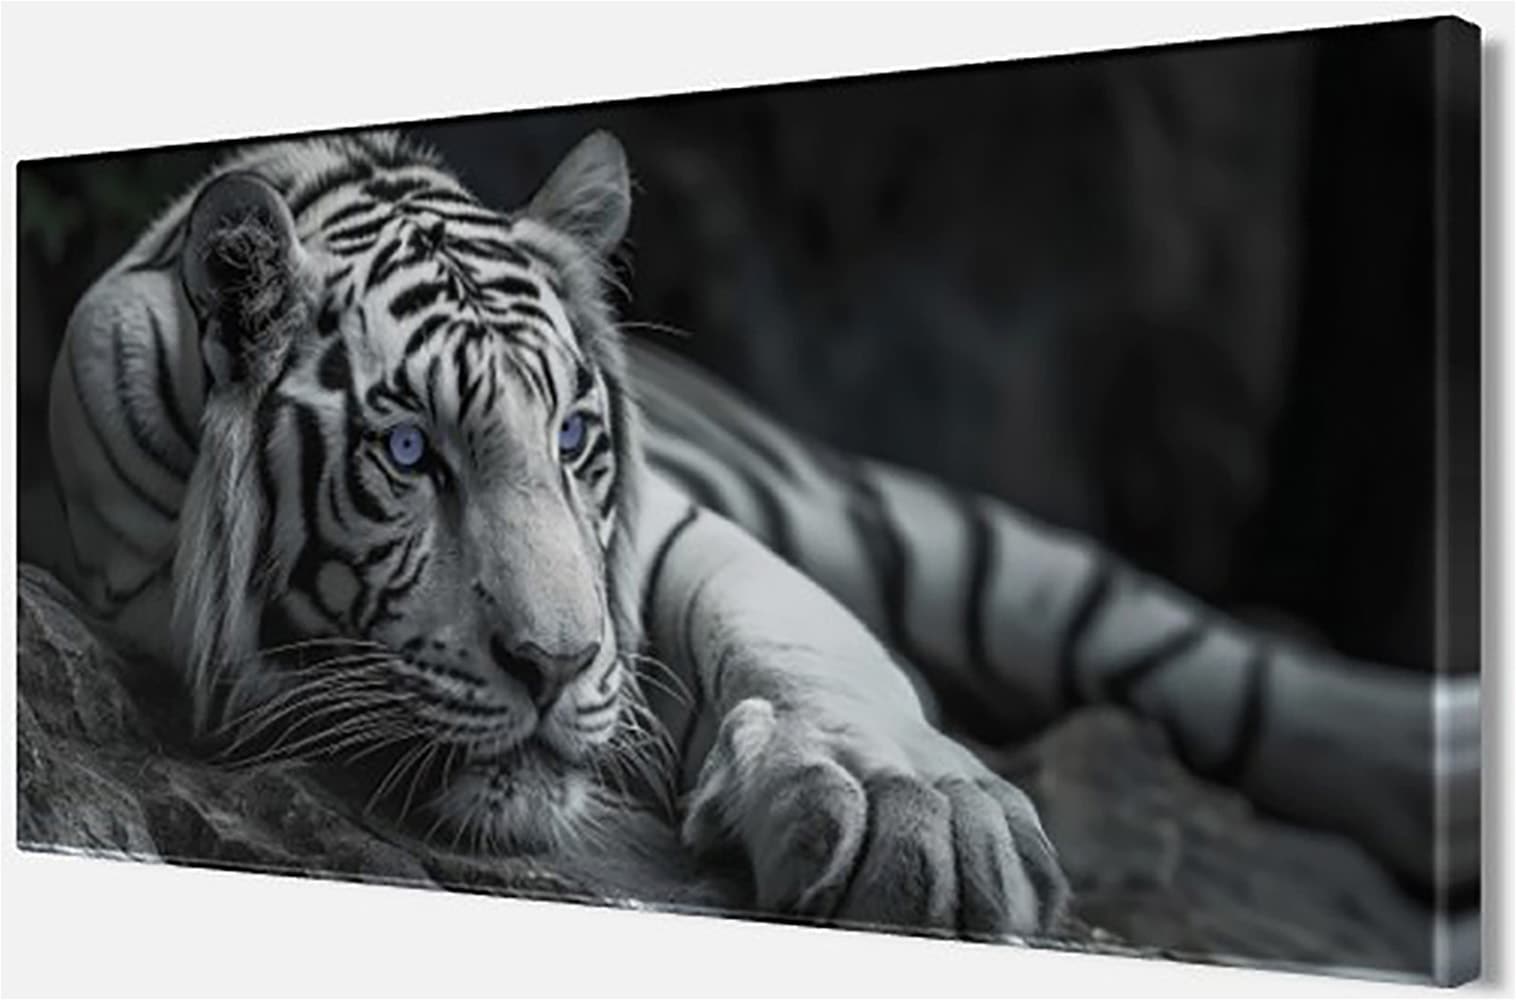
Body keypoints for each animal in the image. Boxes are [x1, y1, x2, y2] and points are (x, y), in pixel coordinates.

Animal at [46, 129, 1477, 939]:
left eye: (574, 438)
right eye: (409, 456)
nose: (557, 669)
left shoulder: (672, 529)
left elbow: (796, 631)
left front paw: (919, 821)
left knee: (1181, 644)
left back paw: (1447, 773)